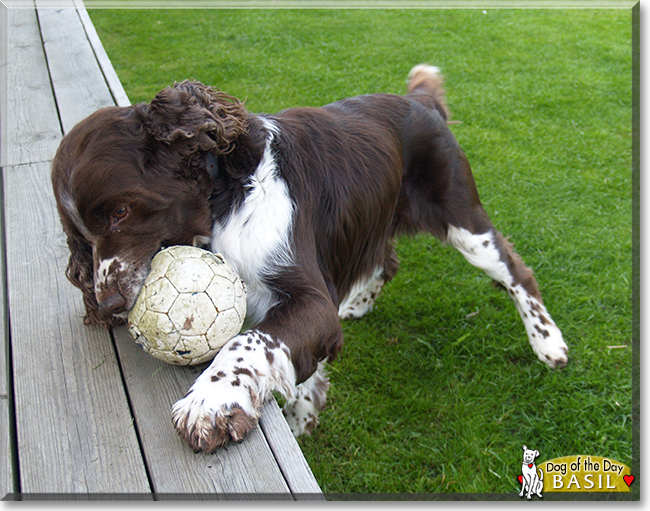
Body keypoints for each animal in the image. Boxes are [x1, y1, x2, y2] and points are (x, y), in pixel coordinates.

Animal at [52, 66, 568, 454]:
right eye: (79, 236)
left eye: (120, 212)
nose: (110, 304)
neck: (223, 196)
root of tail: (419, 100)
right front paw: (302, 410)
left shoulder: (306, 295)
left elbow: (249, 340)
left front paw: (212, 402)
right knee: (387, 257)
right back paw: (359, 304)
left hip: (461, 218)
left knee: (516, 272)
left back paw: (548, 344)